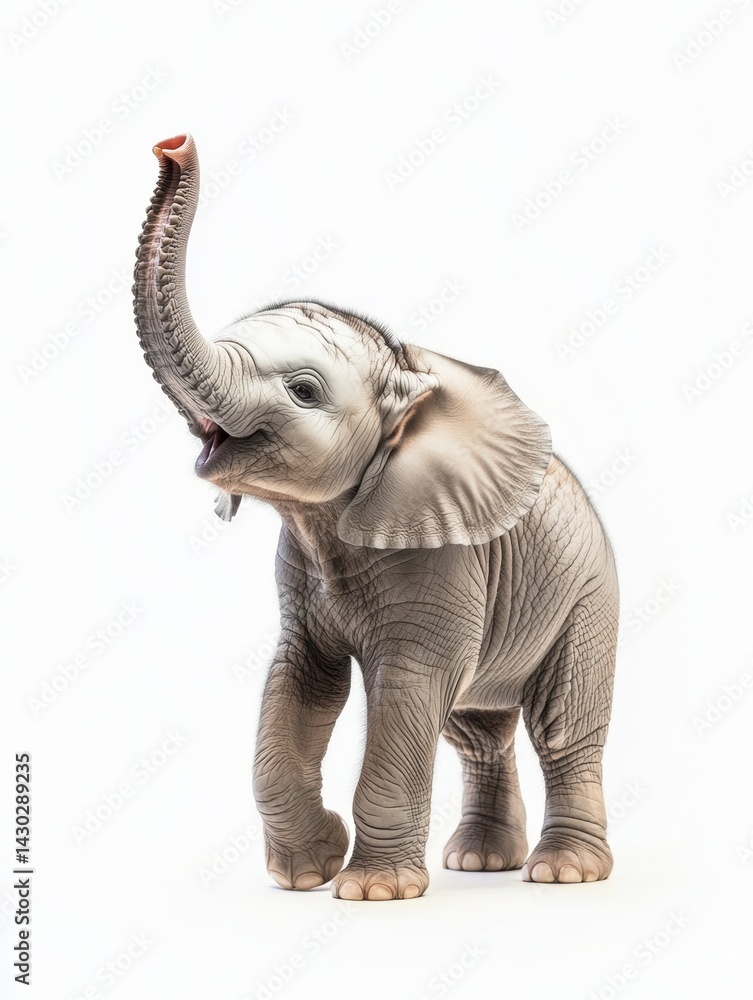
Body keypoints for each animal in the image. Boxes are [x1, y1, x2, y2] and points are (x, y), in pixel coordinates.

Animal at [133, 133, 619, 902]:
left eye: (304, 391)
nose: (172, 144)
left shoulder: (446, 558)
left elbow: (409, 687)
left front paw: (372, 893)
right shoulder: (299, 576)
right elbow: (299, 681)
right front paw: (307, 873)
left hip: (588, 593)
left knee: (561, 726)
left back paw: (561, 873)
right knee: (475, 728)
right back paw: (479, 864)